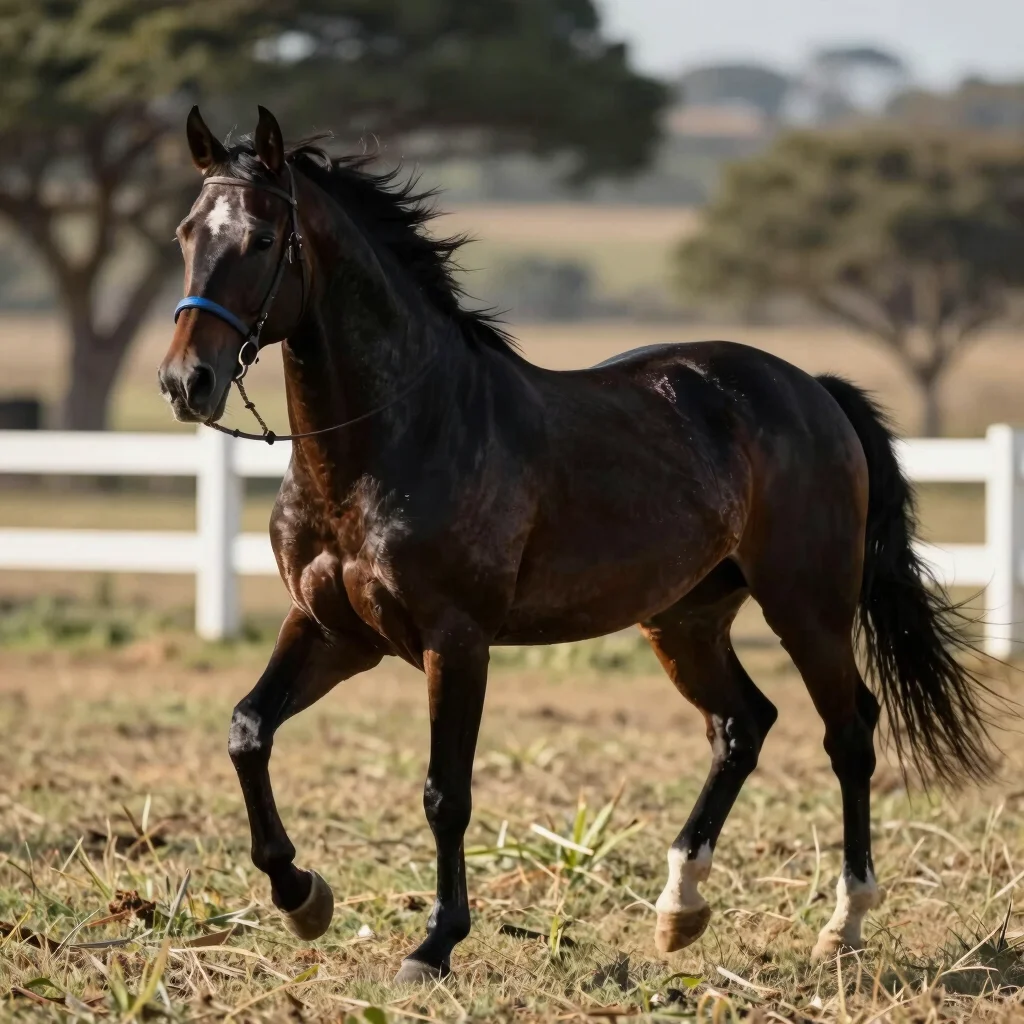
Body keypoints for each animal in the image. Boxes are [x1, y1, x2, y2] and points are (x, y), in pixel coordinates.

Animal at [158, 106, 997, 983]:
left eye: (261, 238)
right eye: (186, 232)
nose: (187, 382)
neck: (390, 442)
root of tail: (813, 392)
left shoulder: (456, 641)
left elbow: (445, 793)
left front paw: (434, 943)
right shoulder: (332, 631)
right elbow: (248, 731)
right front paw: (302, 896)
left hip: (808, 608)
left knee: (850, 733)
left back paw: (843, 923)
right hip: (685, 620)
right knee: (743, 725)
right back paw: (679, 907)